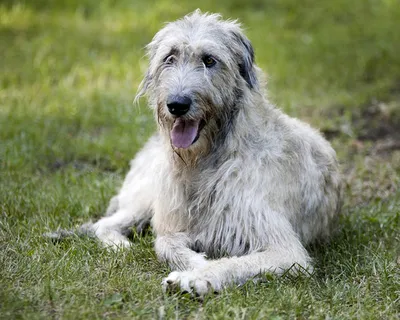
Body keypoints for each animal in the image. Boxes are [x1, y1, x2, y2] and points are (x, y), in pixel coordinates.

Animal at [54, 11, 342, 296]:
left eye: (209, 60)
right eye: (169, 58)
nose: (177, 105)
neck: (206, 160)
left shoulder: (284, 250)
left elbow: (234, 261)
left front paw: (197, 277)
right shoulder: (173, 219)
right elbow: (165, 242)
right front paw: (195, 265)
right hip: (146, 196)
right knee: (106, 224)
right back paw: (120, 245)